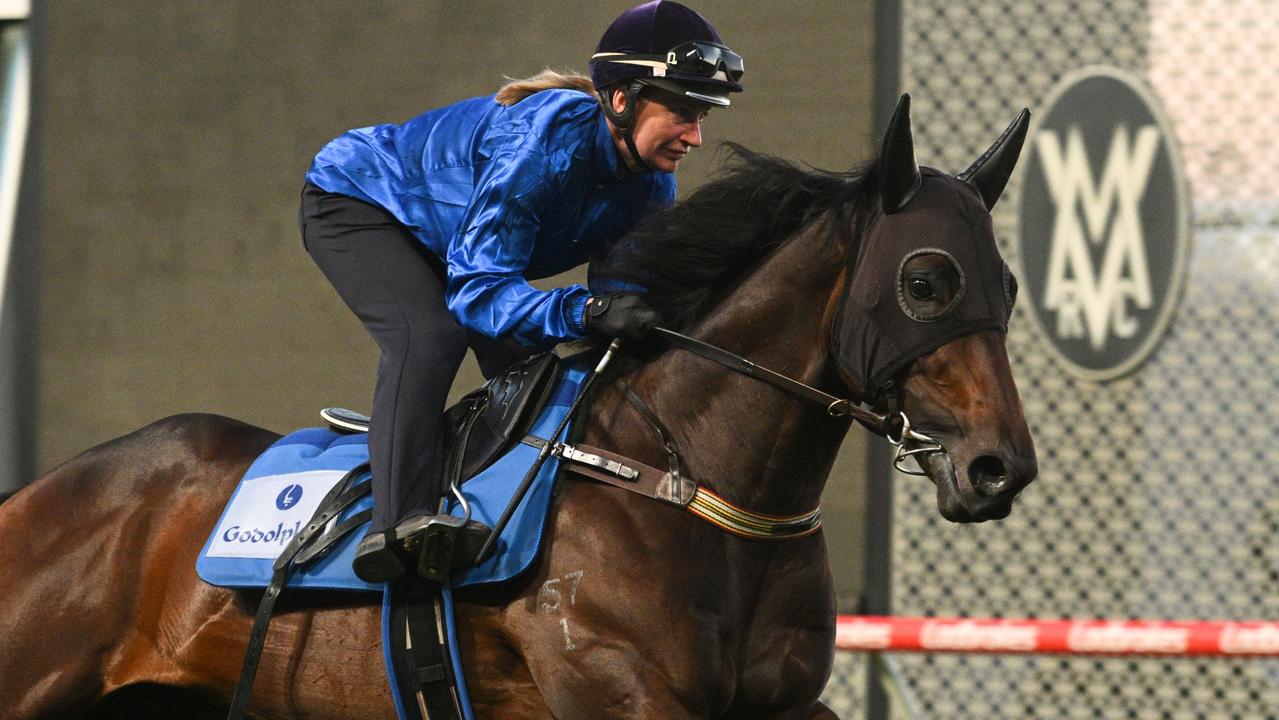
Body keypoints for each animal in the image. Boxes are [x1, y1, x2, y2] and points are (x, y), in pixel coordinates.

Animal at [0, 97, 1038, 720]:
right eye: (925, 281)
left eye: (1009, 284)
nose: (1000, 467)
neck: (684, 478)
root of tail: (45, 495)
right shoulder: (621, 694)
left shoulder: (781, 703)